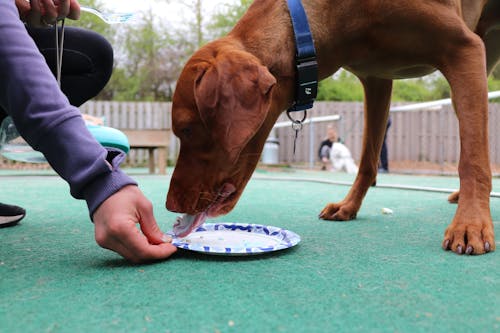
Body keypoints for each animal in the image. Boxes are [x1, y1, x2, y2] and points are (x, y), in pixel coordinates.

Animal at [167, 0, 500, 254]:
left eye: (188, 129)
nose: (170, 205)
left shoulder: (462, 48)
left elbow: (472, 160)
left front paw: (470, 223)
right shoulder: (377, 80)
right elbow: (367, 160)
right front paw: (349, 206)